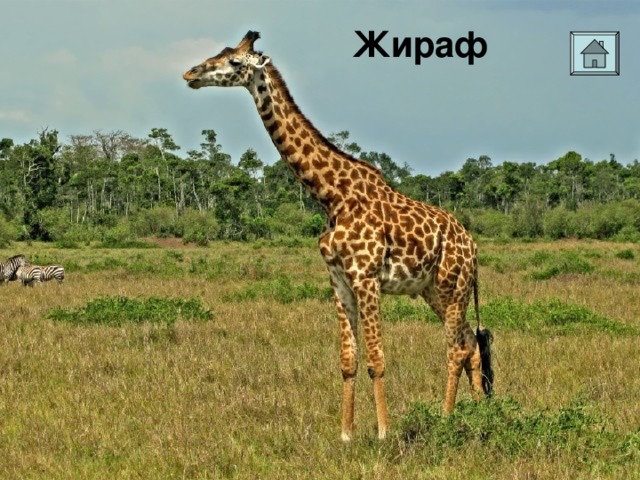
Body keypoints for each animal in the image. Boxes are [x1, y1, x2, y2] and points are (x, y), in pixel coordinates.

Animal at [183, 31, 493, 441]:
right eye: (221, 52)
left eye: (234, 62)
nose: (190, 73)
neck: (332, 195)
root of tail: (472, 245)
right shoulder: (338, 279)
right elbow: (348, 359)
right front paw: (345, 433)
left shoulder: (366, 276)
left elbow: (376, 358)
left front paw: (383, 432)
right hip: (432, 290)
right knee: (470, 342)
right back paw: (477, 413)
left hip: (451, 285)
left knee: (456, 349)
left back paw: (445, 418)